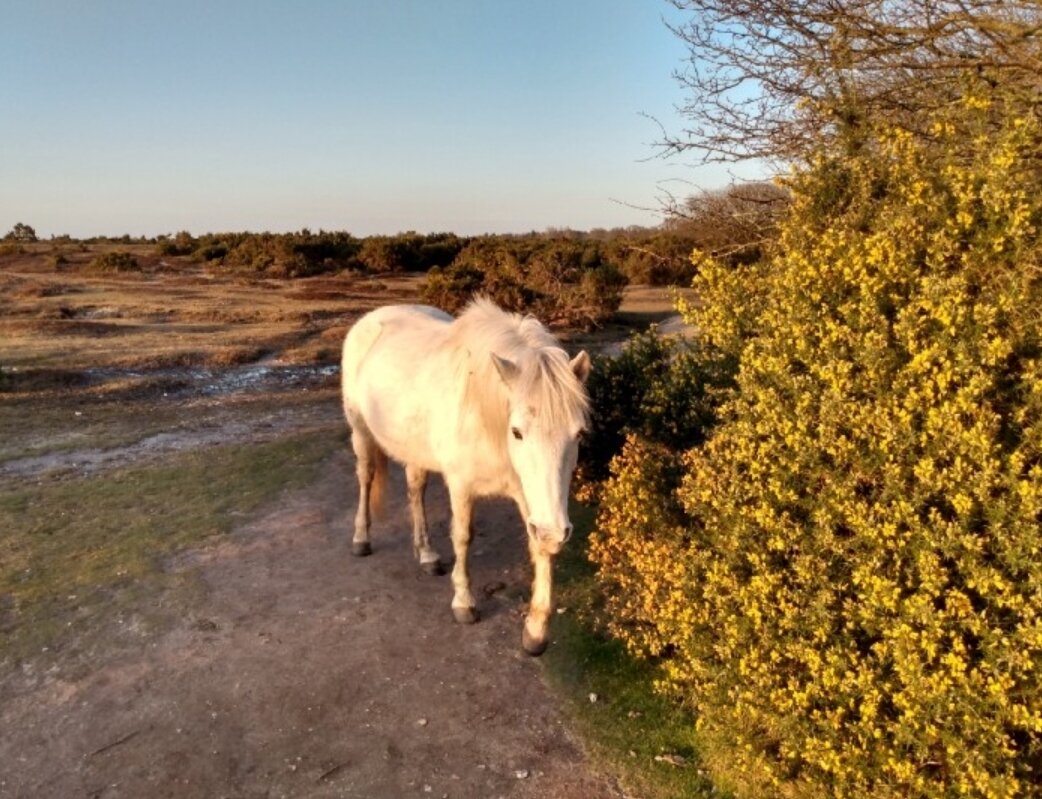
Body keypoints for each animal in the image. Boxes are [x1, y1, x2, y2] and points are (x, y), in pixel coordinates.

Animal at [339, 297, 591, 658]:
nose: (555, 532)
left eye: (579, 434)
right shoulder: (461, 486)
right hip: (360, 433)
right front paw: (464, 602)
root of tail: (373, 318)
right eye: (517, 432)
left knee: (416, 490)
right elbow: (462, 537)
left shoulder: (530, 496)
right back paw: (361, 539)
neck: (485, 415)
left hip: (416, 450)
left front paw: (536, 631)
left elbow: (538, 548)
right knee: (366, 477)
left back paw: (427, 554)